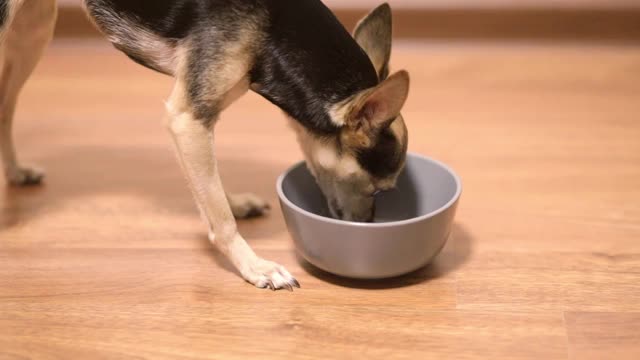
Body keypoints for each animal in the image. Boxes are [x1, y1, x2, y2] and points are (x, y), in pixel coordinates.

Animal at [0, 0, 410, 292]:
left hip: (32, 27)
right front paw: (254, 267)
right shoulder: (187, 120)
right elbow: (220, 219)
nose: (366, 226)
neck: (275, 31)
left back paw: (15, 172)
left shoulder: (200, 120)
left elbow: (210, 189)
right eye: (377, 188)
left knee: (6, 106)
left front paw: (234, 201)